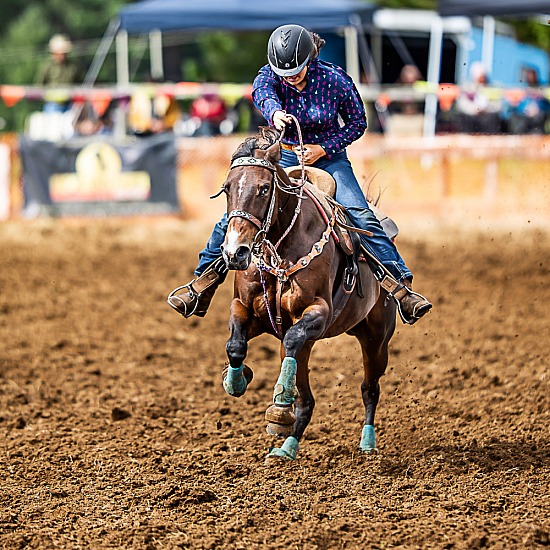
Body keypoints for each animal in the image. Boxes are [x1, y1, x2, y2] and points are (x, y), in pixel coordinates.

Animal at [220, 129, 396, 462]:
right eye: (227, 189)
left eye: (264, 188)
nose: (235, 252)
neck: (280, 248)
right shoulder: (245, 308)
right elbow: (235, 344)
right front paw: (236, 379)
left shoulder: (318, 313)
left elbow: (291, 338)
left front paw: (279, 402)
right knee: (307, 400)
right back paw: (287, 445)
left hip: (376, 338)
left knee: (369, 388)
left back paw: (366, 442)